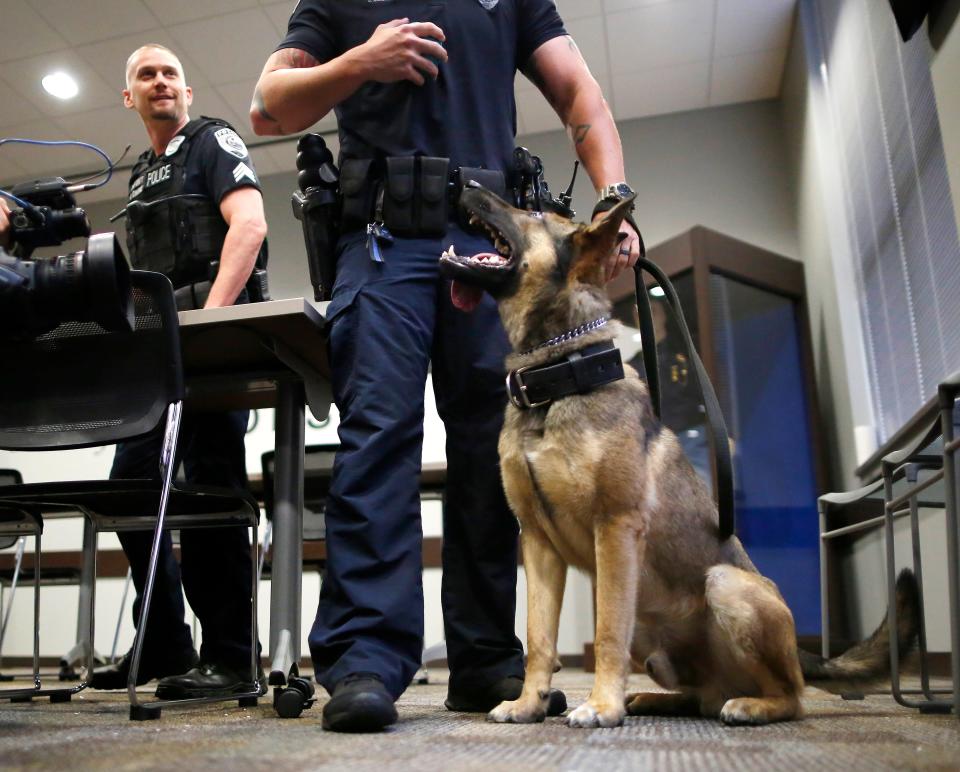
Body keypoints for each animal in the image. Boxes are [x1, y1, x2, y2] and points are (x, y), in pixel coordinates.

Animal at [438, 188, 920, 728]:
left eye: (536, 214)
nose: (465, 183)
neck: (556, 374)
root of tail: (800, 650)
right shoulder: (538, 544)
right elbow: (539, 639)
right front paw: (528, 703)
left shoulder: (616, 528)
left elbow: (606, 631)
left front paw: (600, 706)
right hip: (653, 639)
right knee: (701, 696)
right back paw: (652, 699)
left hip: (726, 585)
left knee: (791, 696)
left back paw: (750, 706)